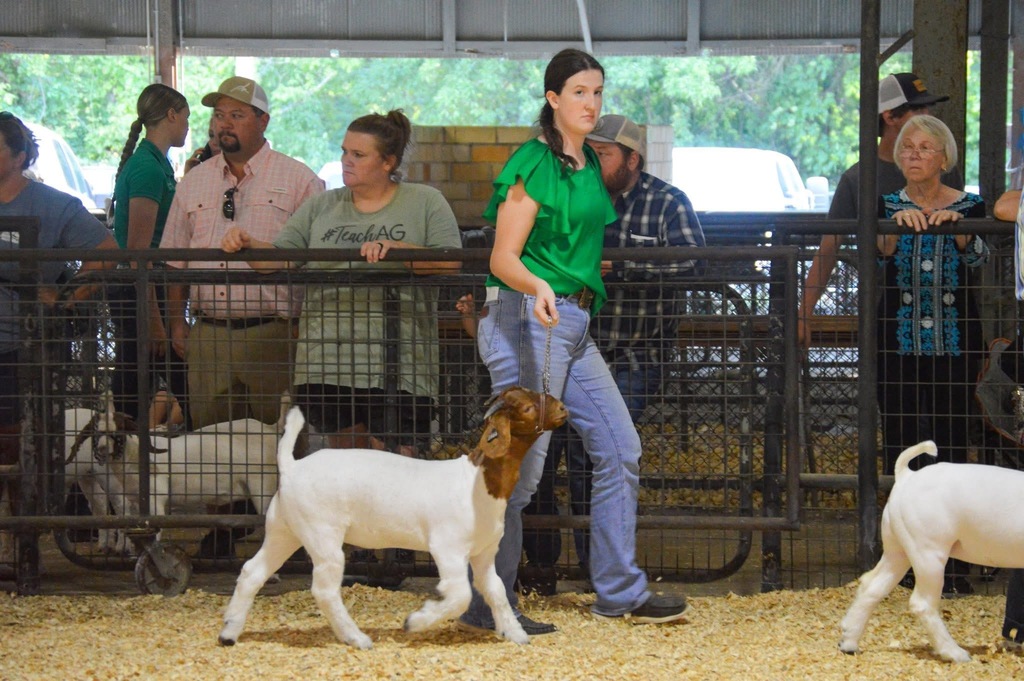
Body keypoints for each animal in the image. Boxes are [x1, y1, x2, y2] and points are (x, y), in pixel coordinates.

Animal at [218, 386, 568, 650]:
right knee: (324, 589)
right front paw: (416, 621)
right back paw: (356, 638)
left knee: (251, 572)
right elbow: (460, 594)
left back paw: (229, 633)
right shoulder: (448, 548)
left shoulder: (483, 552)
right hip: (322, 534)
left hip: (284, 530)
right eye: (527, 408)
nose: (563, 408)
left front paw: (515, 633)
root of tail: (291, 466)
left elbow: (495, 590)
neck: (476, 481)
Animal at [839, 440, 1024, 662]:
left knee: (872, 585)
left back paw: (849, 643)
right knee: (922, 603)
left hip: (897, 548)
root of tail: (906, 476)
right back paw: (956, 653)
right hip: (928, 551)